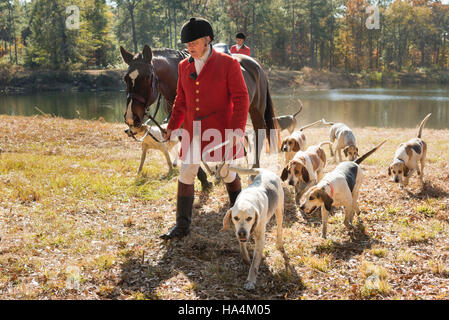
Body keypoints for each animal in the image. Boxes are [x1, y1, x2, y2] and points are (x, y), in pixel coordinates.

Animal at [121, 43, 278, 172]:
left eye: (147, 77)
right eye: (125, 78)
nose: (130, 117)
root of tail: (256, 65)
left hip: (256, 110)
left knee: (258, 133)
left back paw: (254, 165)